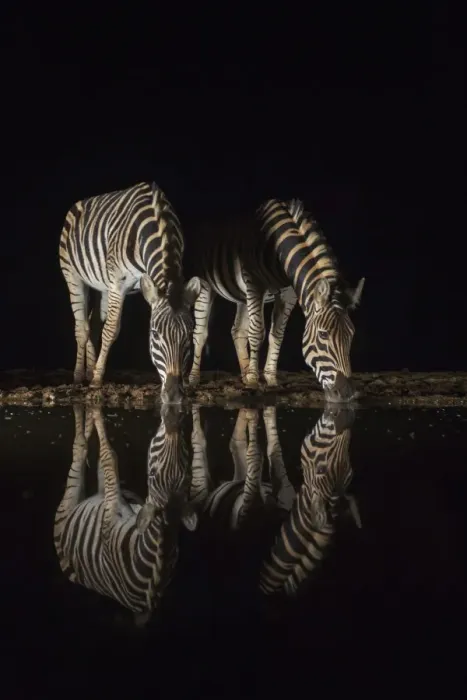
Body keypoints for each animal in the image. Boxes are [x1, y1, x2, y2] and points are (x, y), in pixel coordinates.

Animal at [53, 404, 198, 627]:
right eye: (188, 475)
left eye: (153, 474)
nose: (174, 417)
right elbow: (107, 460)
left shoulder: (109, 515)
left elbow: (108, 456)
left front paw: (95, 408)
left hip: (66, 511)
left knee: (80, 448)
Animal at [59, 181, 201, 404]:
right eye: (155, 334)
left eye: (188, 334)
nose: (174, 394)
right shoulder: (118, 283)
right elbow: (111, 330)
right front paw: (97, 380)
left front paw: (96, 373)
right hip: (73, 276)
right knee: (82, 327)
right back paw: (80, 376)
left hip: (103, 285)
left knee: (94, 324)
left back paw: (90, 370)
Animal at [188, 198, 364, 402]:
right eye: (323, 335)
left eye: (351, 334)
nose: (347, 394)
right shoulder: (255, 283)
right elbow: (257, 333)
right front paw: (254, 381)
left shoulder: (288, 293)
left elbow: (277, 334)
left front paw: (269, 378)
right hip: (205, 284)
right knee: (200, 333)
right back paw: (194, 378)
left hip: (242, 295)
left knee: (237, 331)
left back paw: (245, 374)